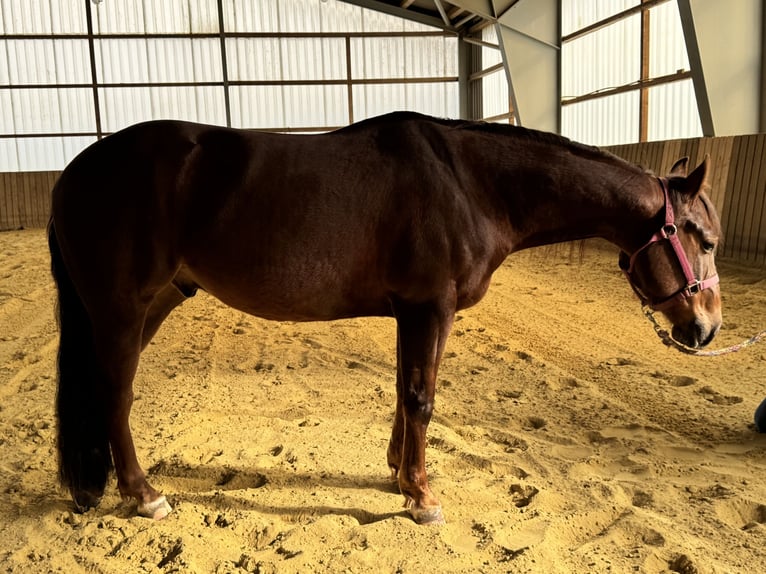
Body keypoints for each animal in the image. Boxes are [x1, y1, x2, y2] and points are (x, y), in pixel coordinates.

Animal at [47, 111, 722, 525]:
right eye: (705, 240)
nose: (704, 330)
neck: (469, 183)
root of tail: (74, 173)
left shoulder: (412, 311)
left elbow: (404, 391)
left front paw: (399, 473)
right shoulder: (429, 307)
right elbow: (422, 398)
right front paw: (422, 498)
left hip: (154, 302)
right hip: (121, 309)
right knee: (113, 394)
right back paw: (144, 495)